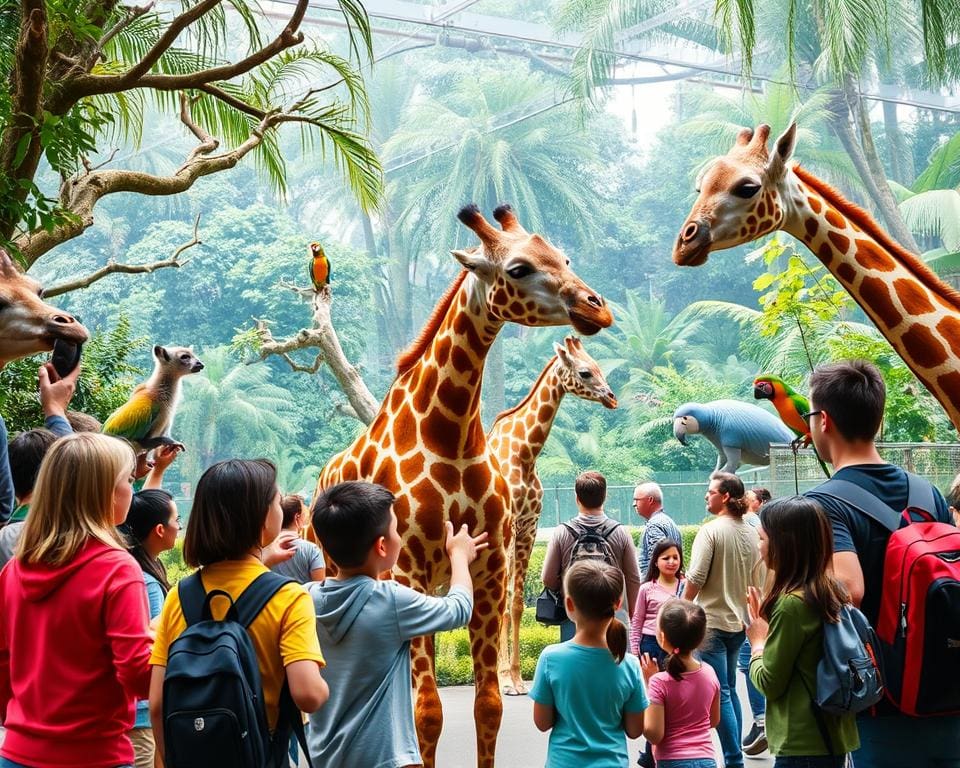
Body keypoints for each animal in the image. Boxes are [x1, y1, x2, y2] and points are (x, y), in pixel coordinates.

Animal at [488, 336, 616, 696]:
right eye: (585, 372)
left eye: (599, 365)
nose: (611, 397)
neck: (524, 454)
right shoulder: (508, 527)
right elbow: (505, 600)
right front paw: (504, 680)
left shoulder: (528, 526)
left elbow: (517, 602)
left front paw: (516, 678)